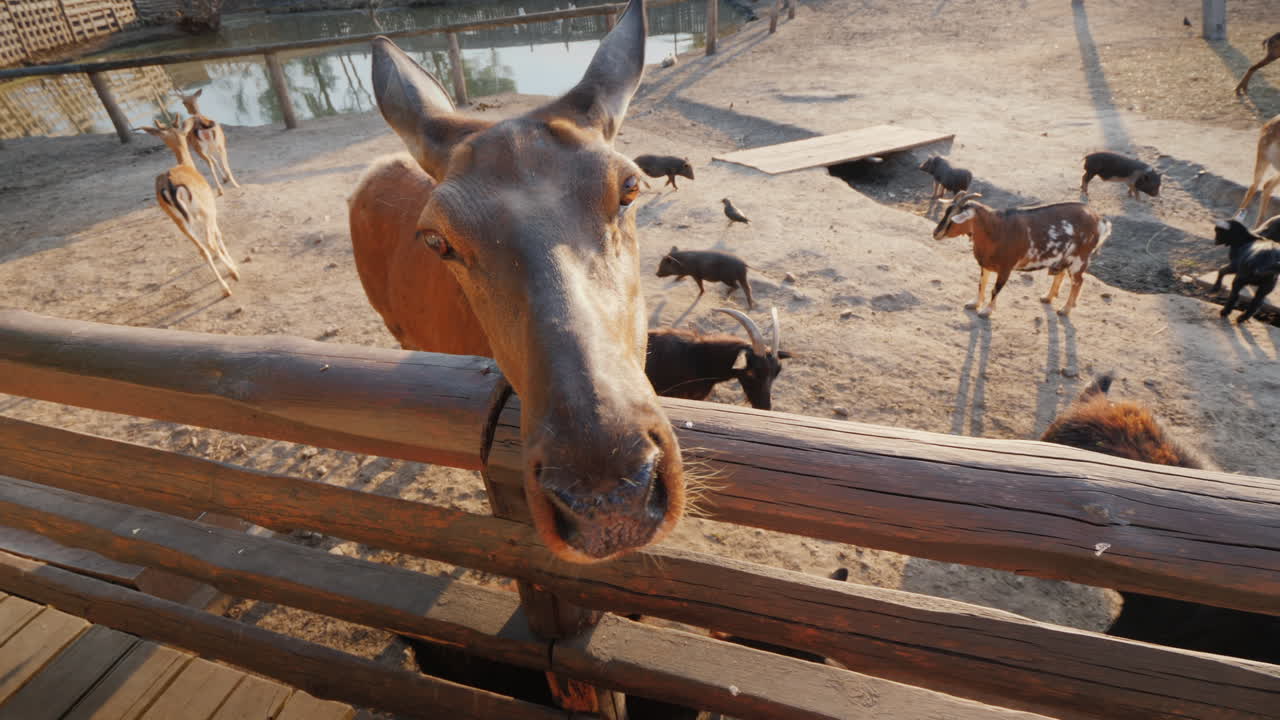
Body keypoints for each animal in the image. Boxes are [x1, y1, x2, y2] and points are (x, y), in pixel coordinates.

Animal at [141, 116, 239, 297]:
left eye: (165, 137)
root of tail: (170, 185)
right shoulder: (210, 211)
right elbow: (218, 235)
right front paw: (232, 266)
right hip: (203, 212)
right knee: (209, 243)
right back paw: (233, 274)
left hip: (179, 221)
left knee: (201, 250)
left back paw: (224, 287)